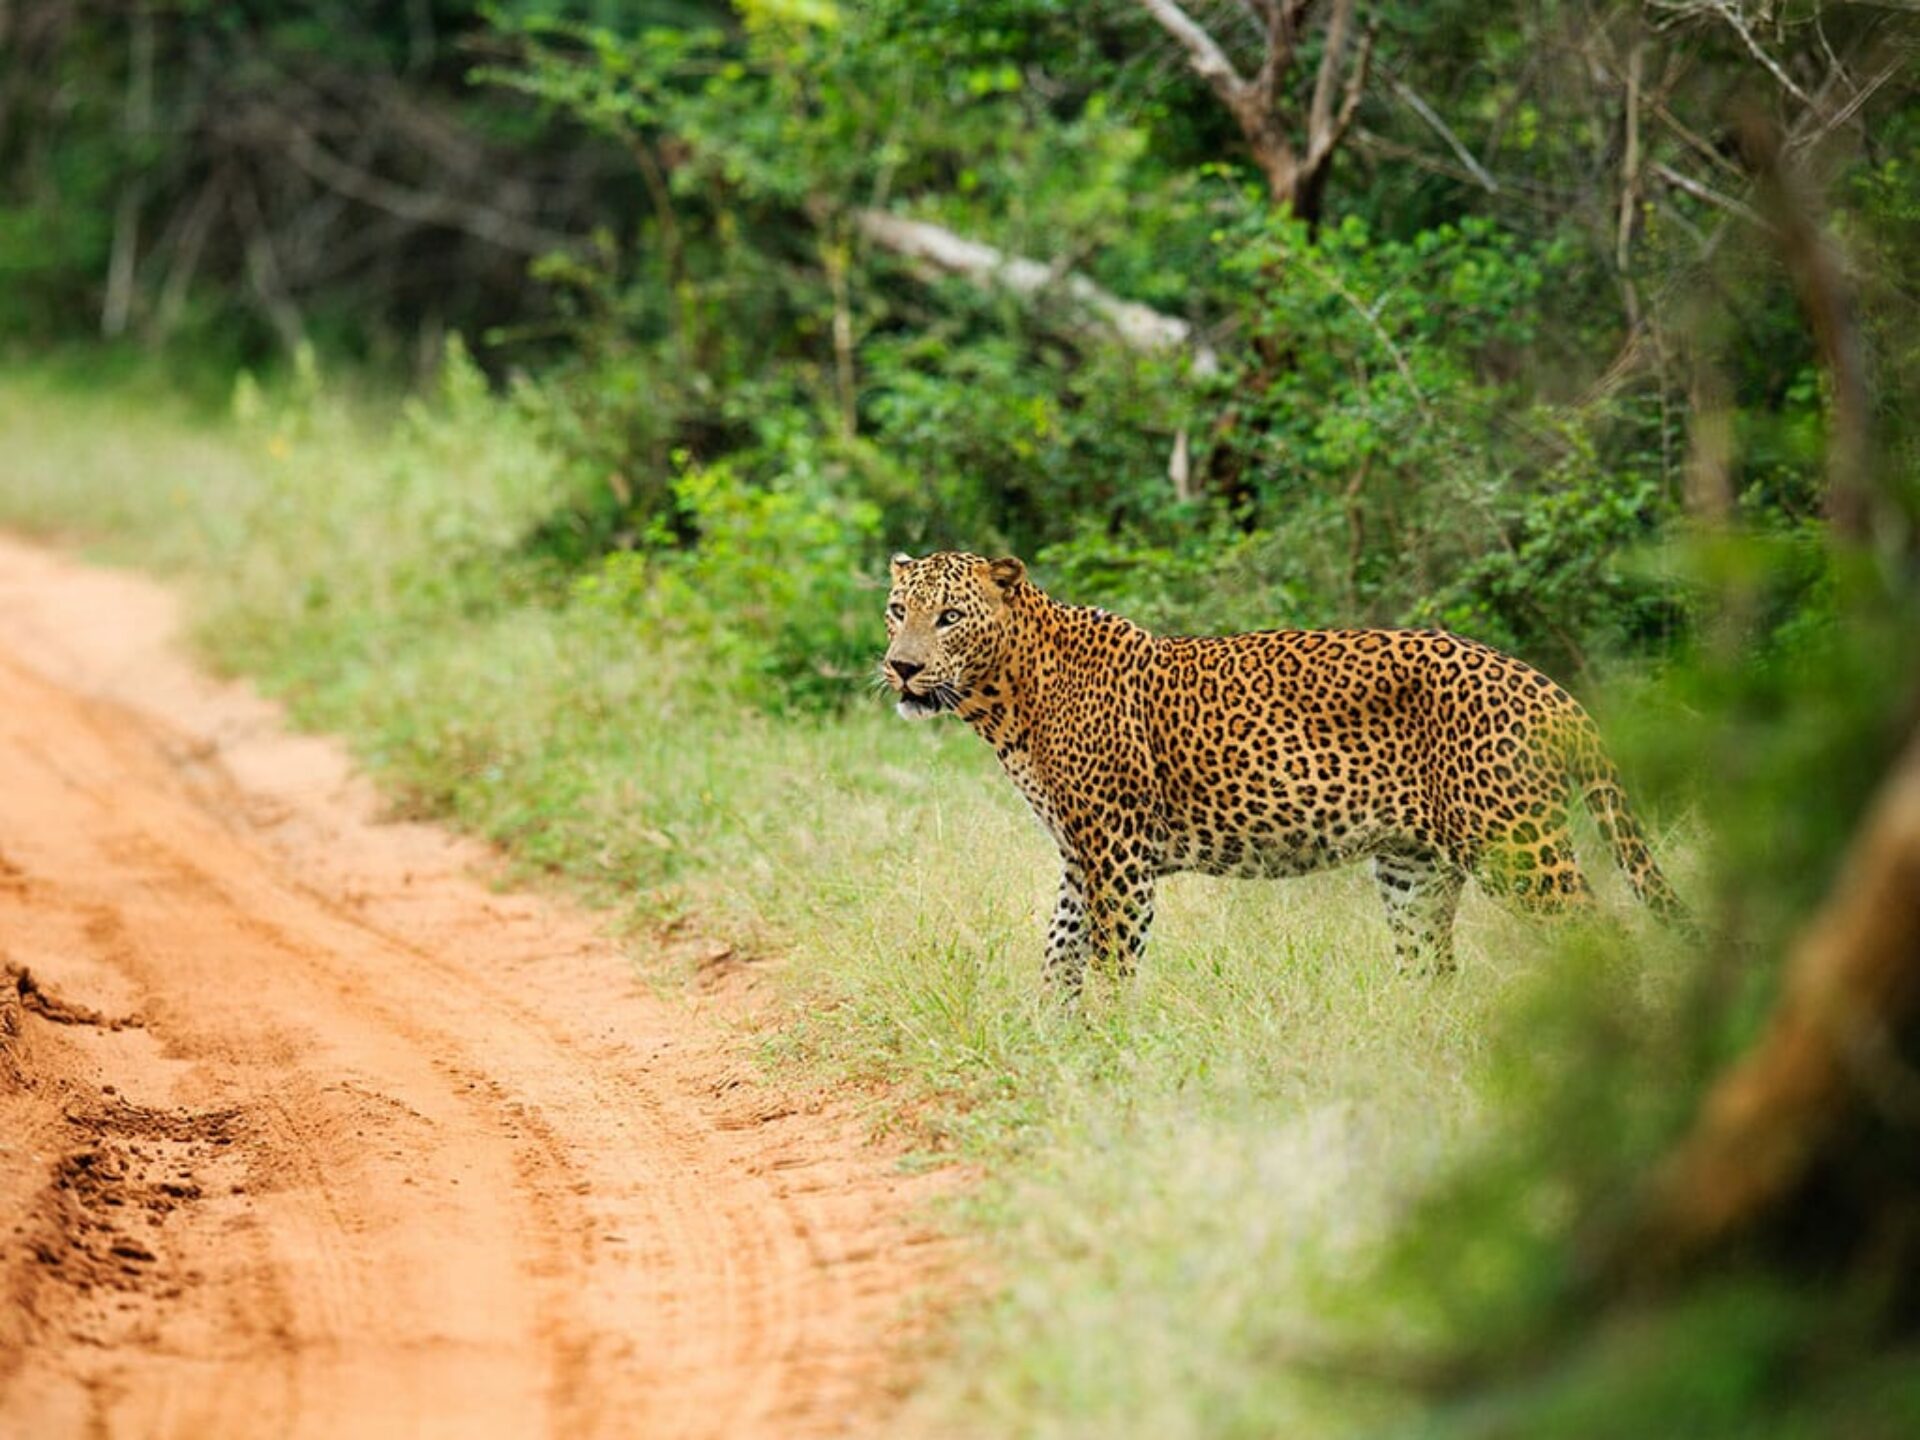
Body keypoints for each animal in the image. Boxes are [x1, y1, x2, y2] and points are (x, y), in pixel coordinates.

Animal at [879, 549, 1689, 990]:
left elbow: (1110, 960)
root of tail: (1548, 688)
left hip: (1516, 849)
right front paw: (1052, 1042)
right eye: (895, 610)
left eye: (949, 616)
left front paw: (1109, 1051)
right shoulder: (1081, 856)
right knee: (1431, 967)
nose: (901, 667)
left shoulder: (1118, 852)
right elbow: (1059, 954)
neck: (1005, 696)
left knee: (1604, 936)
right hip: (1414, 868)